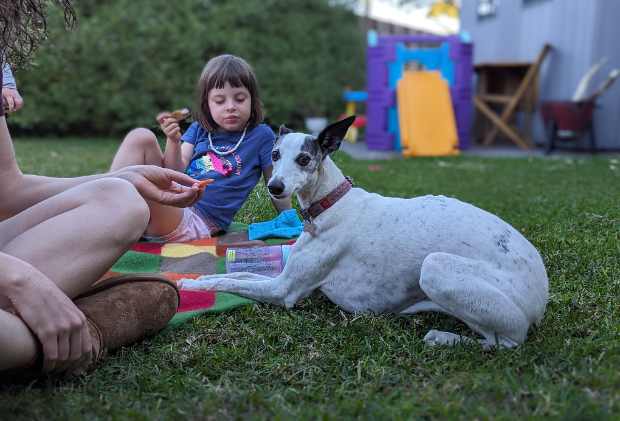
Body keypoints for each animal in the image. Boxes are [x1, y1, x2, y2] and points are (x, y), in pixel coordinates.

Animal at [184, 115, 548, 348]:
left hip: (435, 267)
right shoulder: (282, 278)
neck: (331, 202)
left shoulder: (284, 291)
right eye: (274, 154)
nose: (275, 187)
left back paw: (445, 338)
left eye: (304, 159)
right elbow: (238, 276)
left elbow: (231, 282)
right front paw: (201, 278)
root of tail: (542, 295)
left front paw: (190, 285)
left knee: (507, 342)